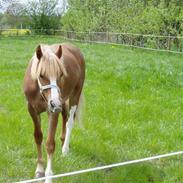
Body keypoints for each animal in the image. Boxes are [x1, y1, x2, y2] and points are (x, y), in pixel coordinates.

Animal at [22, 43, 85, 183]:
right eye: (41, 75)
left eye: (61, 74)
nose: (55, 103)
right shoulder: (32, 110)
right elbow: (38, 137)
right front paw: (39, 169)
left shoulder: (52, 112)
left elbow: (50, 144)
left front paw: (49, 176)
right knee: (65, 115)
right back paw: (63, 141)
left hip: (74, 95)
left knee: (69, 122)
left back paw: (65, 149)